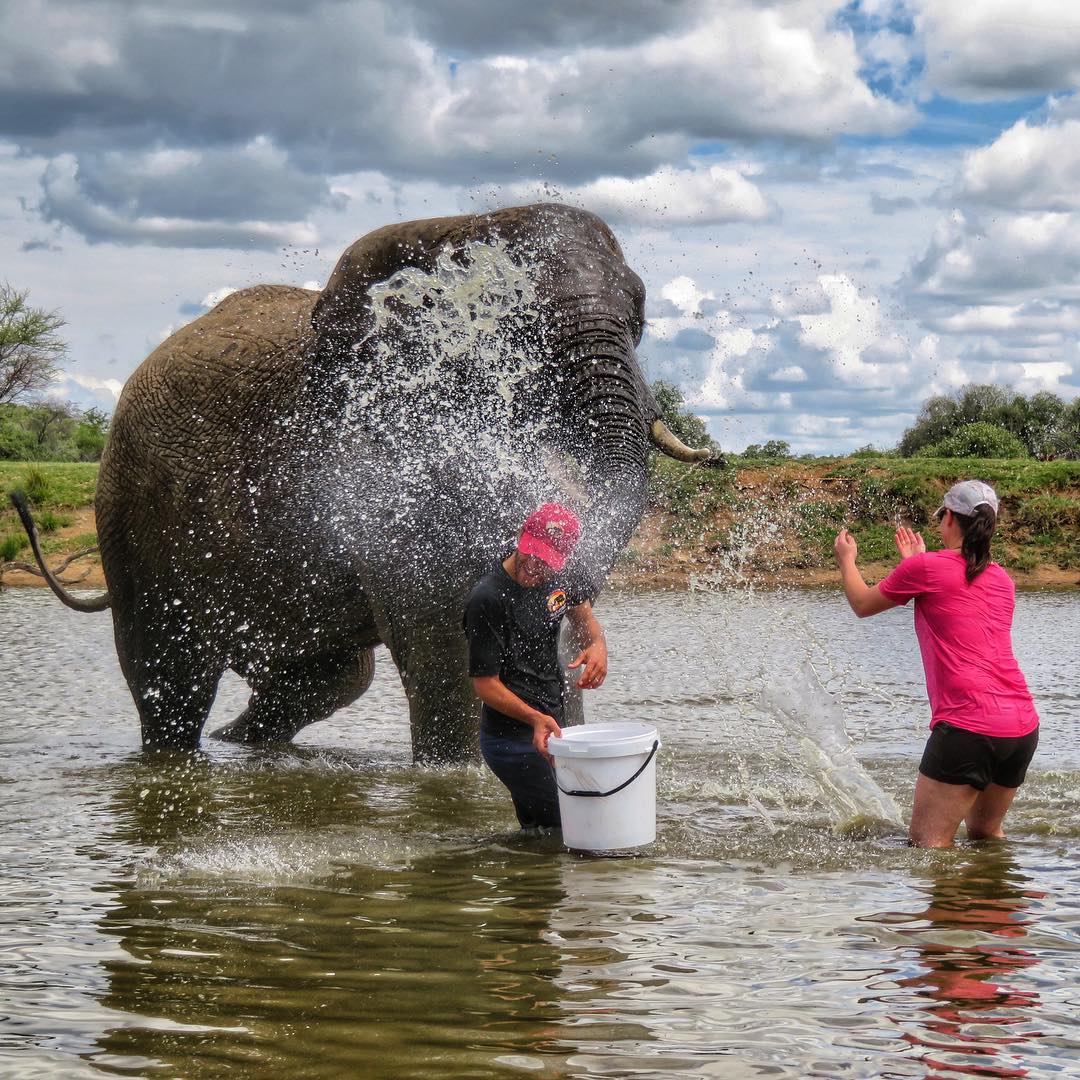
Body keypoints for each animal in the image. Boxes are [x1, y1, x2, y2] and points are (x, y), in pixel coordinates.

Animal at [14, 203, 717, 762]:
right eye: (520, 320)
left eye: (640, 313)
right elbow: (448, 643)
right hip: (135, 508)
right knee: (171, 679)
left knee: (329, 678)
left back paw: (244, 748)